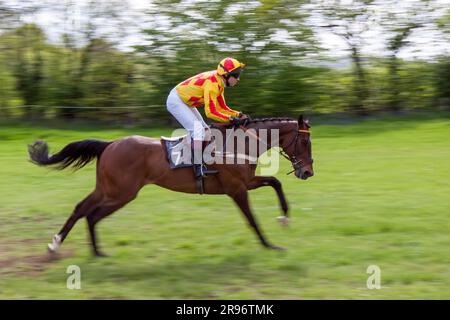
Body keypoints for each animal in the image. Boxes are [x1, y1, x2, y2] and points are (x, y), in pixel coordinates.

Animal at [27, 114, 312, 256]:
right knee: (88, 211)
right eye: (305, 142)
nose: (308, 172)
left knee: (85, 211)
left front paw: (284, 217)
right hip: (120, 192)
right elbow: (252, 219)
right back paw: (64, 245)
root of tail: (109, 144)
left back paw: (88, 250)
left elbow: (275, 182)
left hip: (112, 190)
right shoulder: (236, 189)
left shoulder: (247, 182)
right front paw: (269, 245)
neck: (240, 143)